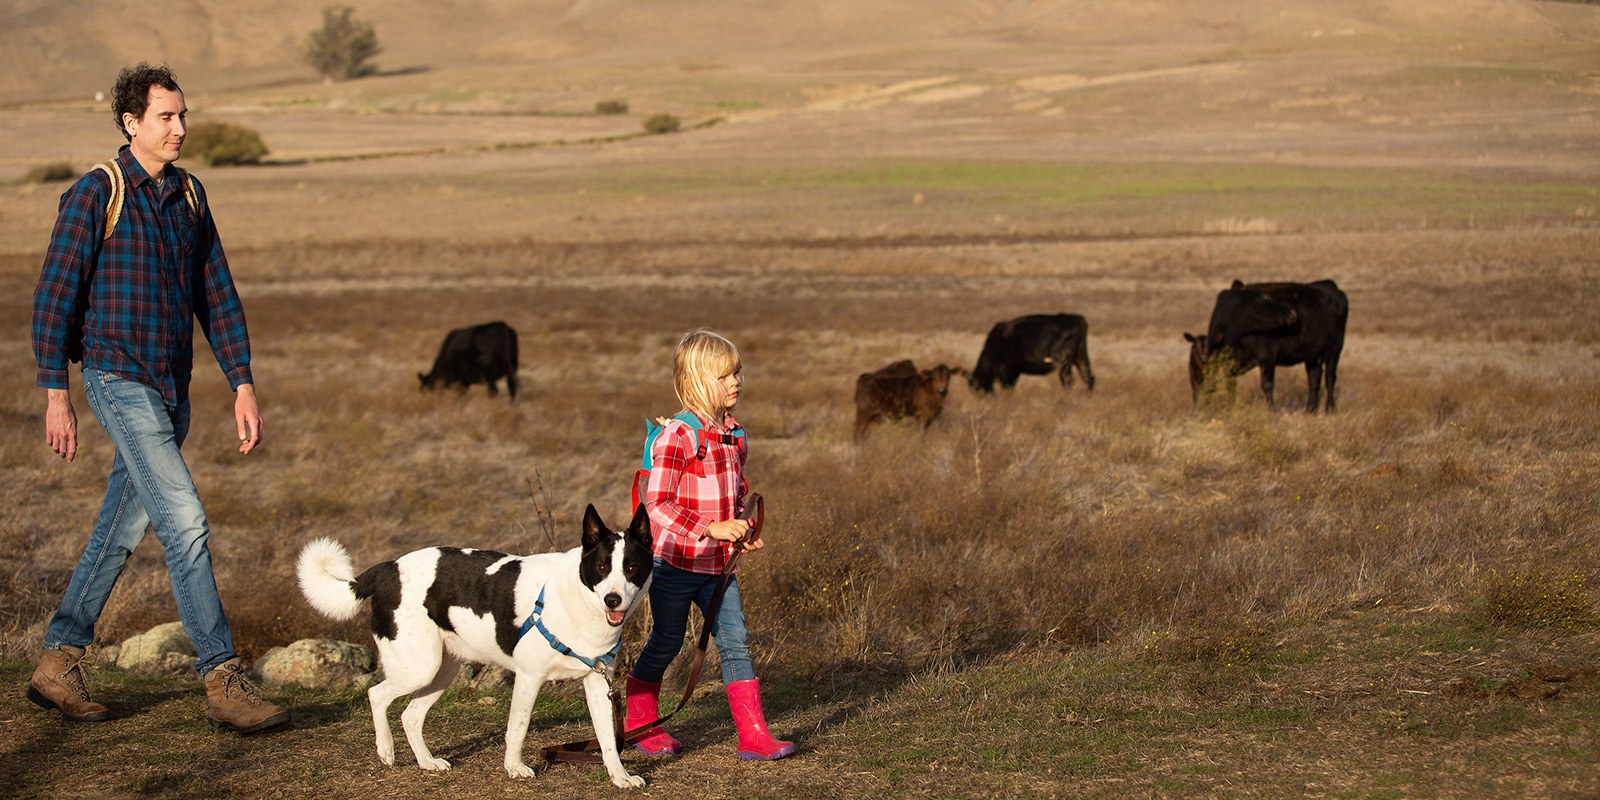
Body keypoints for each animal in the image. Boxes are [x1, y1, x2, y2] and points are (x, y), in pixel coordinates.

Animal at [297, 505, 652, 787]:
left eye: (632, 568)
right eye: (602, 567)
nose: (613, 600)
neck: (578, 597)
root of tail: (389, 568)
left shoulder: (598, 684)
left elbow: (609, 740)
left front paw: (620, 777)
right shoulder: (529, 678)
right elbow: (518, 728)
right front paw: (514, 768)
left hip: (441, 671)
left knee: (410, 716)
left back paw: (427, 762)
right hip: (419, 667)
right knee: (376, 695)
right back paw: (386, 750)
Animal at [966, 315, 1094, 396]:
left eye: (975, 386)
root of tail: (1079, 319)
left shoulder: (1004, 370)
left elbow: (1007, 387)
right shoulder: (1014, 373)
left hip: (1063, 364)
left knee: (1069, 381)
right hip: (1080, 358)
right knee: (1089, 377)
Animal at [1190, 278, 1350, 412]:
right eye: (1265, 298)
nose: (1293, 313)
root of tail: (1329, 285)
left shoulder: (1267, 357)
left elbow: (1267, 384)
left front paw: (1272, 410)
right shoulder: (1229, 364)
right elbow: (1231, 387)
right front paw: (1231, 408)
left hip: (1335, 347)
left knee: (1330, 377)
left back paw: (1330, 408)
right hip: (1311, 354)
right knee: (1314, 377)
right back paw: (1310, 409)